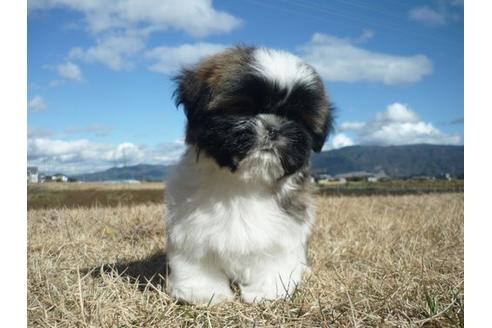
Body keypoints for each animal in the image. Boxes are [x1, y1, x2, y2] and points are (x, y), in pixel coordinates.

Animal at [166, 46, 334, 304]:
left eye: (296, 119)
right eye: (244, 109)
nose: (274, 128)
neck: (245, 183)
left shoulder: (284, 231)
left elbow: (275, 259)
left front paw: (267, 291)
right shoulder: (191, 230)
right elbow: (196, 261)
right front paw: (204, 292)